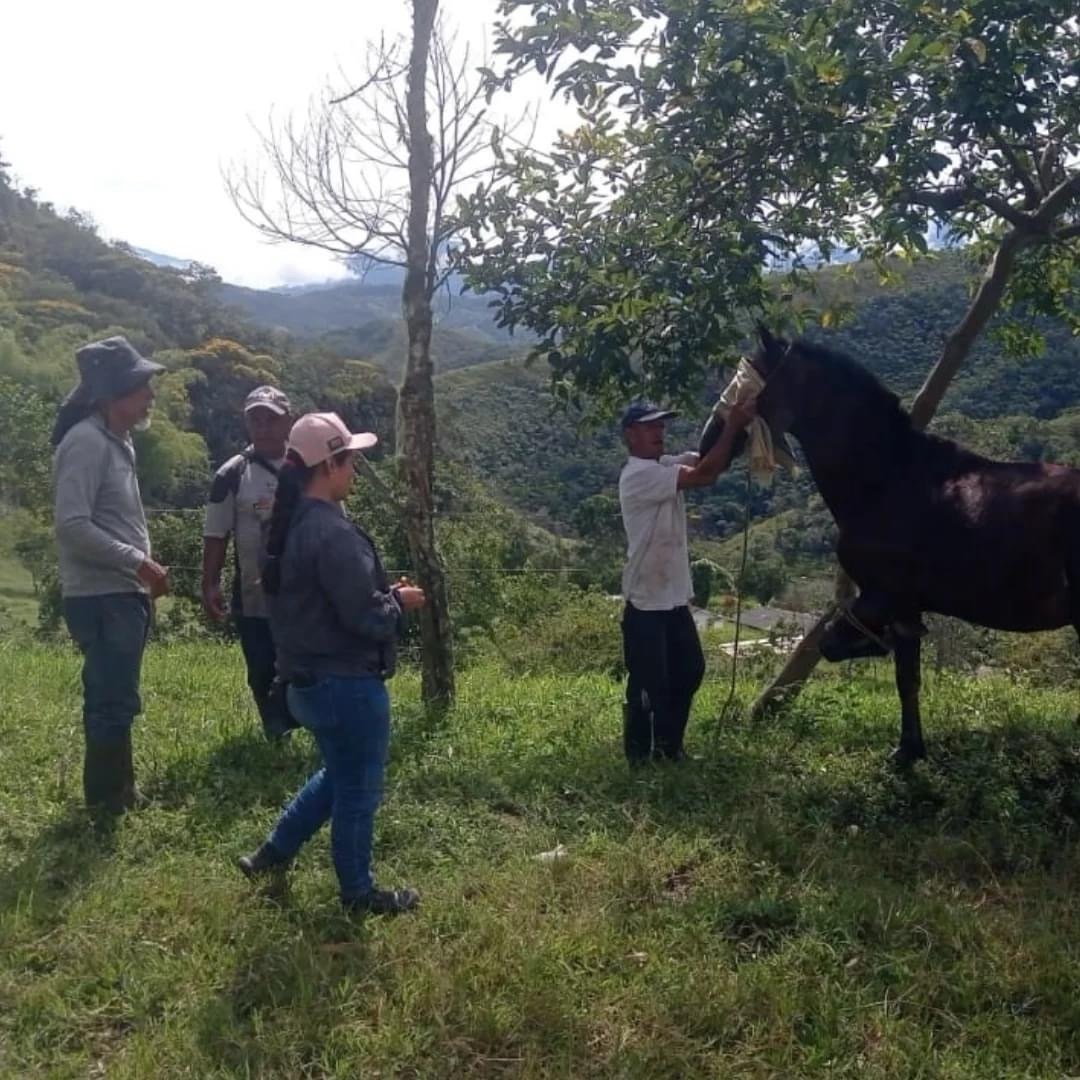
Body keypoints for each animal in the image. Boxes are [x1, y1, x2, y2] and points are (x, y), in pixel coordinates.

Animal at [699, 324, 1080, 764]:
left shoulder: (887, 598)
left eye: (745, 382)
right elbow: (900, 673)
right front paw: (910, 749)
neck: (888, 478)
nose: (708, 442)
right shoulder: (903, 607)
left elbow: (855, 652)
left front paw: (905, 751)